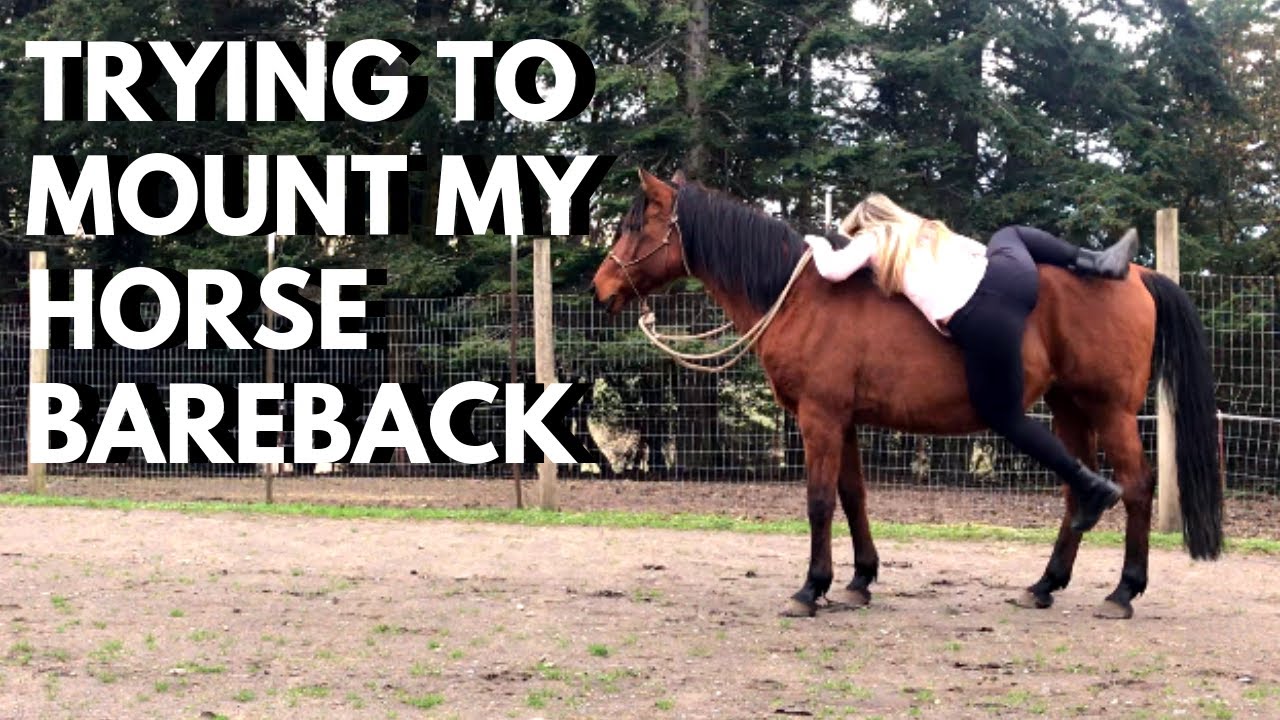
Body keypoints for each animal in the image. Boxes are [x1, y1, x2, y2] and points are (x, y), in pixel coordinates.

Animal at [590, 170, 1222, 619]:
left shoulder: (819, 418)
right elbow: (852, 497)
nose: (600, 288)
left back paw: (1123, 592)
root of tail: (1138, 275)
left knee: (1135, 486)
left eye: (634, 225)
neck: (801, 296)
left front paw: (810, 589)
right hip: (1069, 406)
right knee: (1078, 487)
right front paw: (858, 580)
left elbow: (818, 501)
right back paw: (1045, 584)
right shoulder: (842, 420)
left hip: (1109, 409)